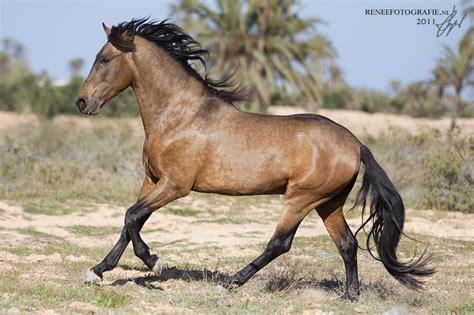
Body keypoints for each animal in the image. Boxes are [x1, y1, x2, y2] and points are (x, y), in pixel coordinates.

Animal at [77, 18, 434, 300]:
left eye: (105, 59)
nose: (82, 102)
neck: (179, 116)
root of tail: (357, 144)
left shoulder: (175, 185)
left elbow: (131, 217)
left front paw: (153, 260)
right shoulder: (152, 180)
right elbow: (130, 222)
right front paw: (98, 270)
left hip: (302, 198)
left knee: (280, 243)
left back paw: (231, 282)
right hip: (328, 203)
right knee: (347, 244)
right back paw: (350, 296)